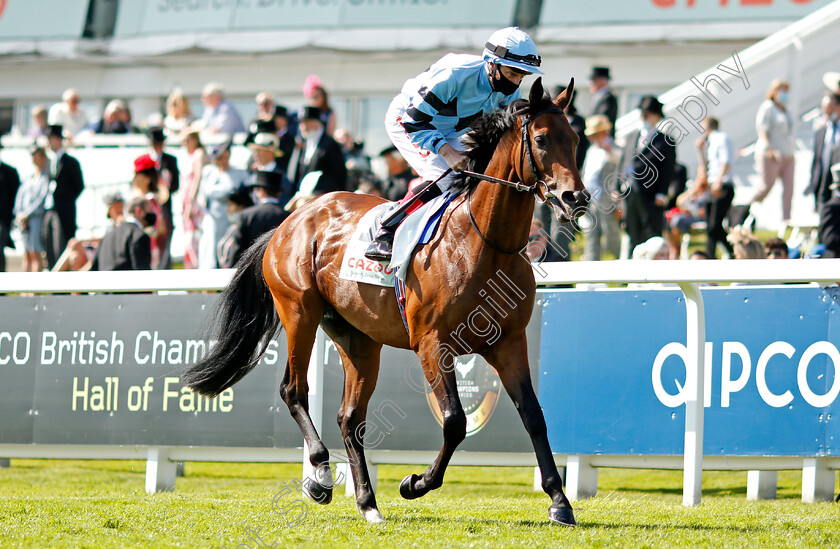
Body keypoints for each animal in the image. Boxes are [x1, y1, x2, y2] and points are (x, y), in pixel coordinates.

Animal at [185, 78, 584, 528]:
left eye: (575, 139)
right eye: (541, 139)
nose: (576, 197)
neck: (484, 243)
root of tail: (289, 221)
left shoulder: (509, 342)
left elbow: (533, 415)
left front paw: (559, 500)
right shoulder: (432, 344)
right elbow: (454, 421)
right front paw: (415, 483)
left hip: (359, 340)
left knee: (350, 418)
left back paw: (367, 502)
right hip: (299, 313)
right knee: (294, 390)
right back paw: (320, 474)